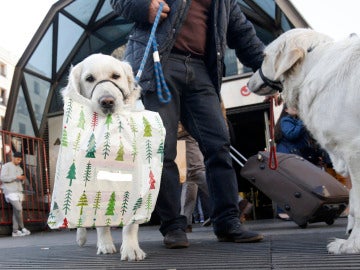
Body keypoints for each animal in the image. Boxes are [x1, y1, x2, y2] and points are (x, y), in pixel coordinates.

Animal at [62, 52, 151, 260]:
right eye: (89, 78)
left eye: (115, 76)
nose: (107, 101)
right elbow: (100, 220)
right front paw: (105, 244)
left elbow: (131, 222)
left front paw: (131, 249)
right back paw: (81, 237)